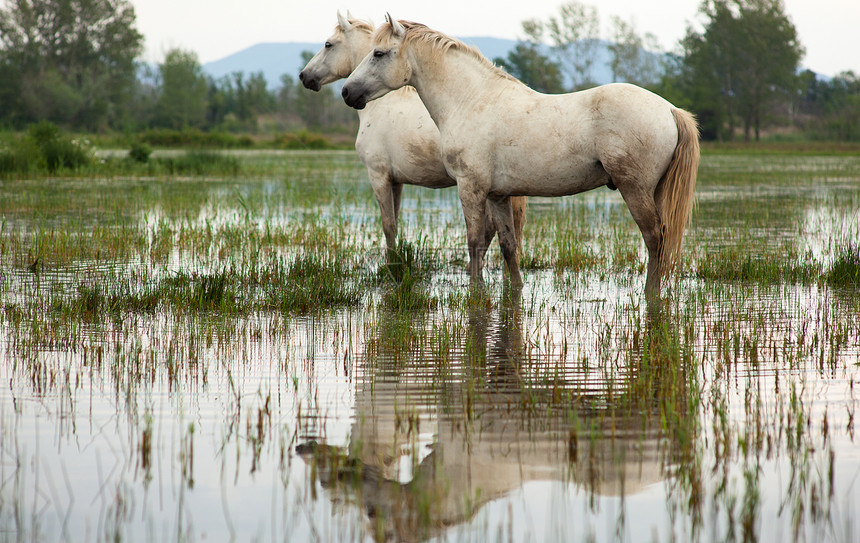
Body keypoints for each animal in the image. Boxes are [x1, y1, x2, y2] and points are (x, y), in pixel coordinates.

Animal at [302, 12, 532, 260]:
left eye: (328, 44)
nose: (304, 76)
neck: (381, 105)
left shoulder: (378, 175)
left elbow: (388, 225)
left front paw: (392, 264)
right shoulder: (396, 181)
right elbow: (394, 223)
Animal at [342, 15, 700, 298]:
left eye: (378, 53)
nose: (347, 92)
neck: (471, 100)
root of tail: (670, 110)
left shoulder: (470, 188)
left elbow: (474, 242)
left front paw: (476, 291)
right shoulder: (498, 195)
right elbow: (507, 245)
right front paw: (514, 289)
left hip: (635, 189)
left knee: (654, 236)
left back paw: (650, 293)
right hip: (653, 190)